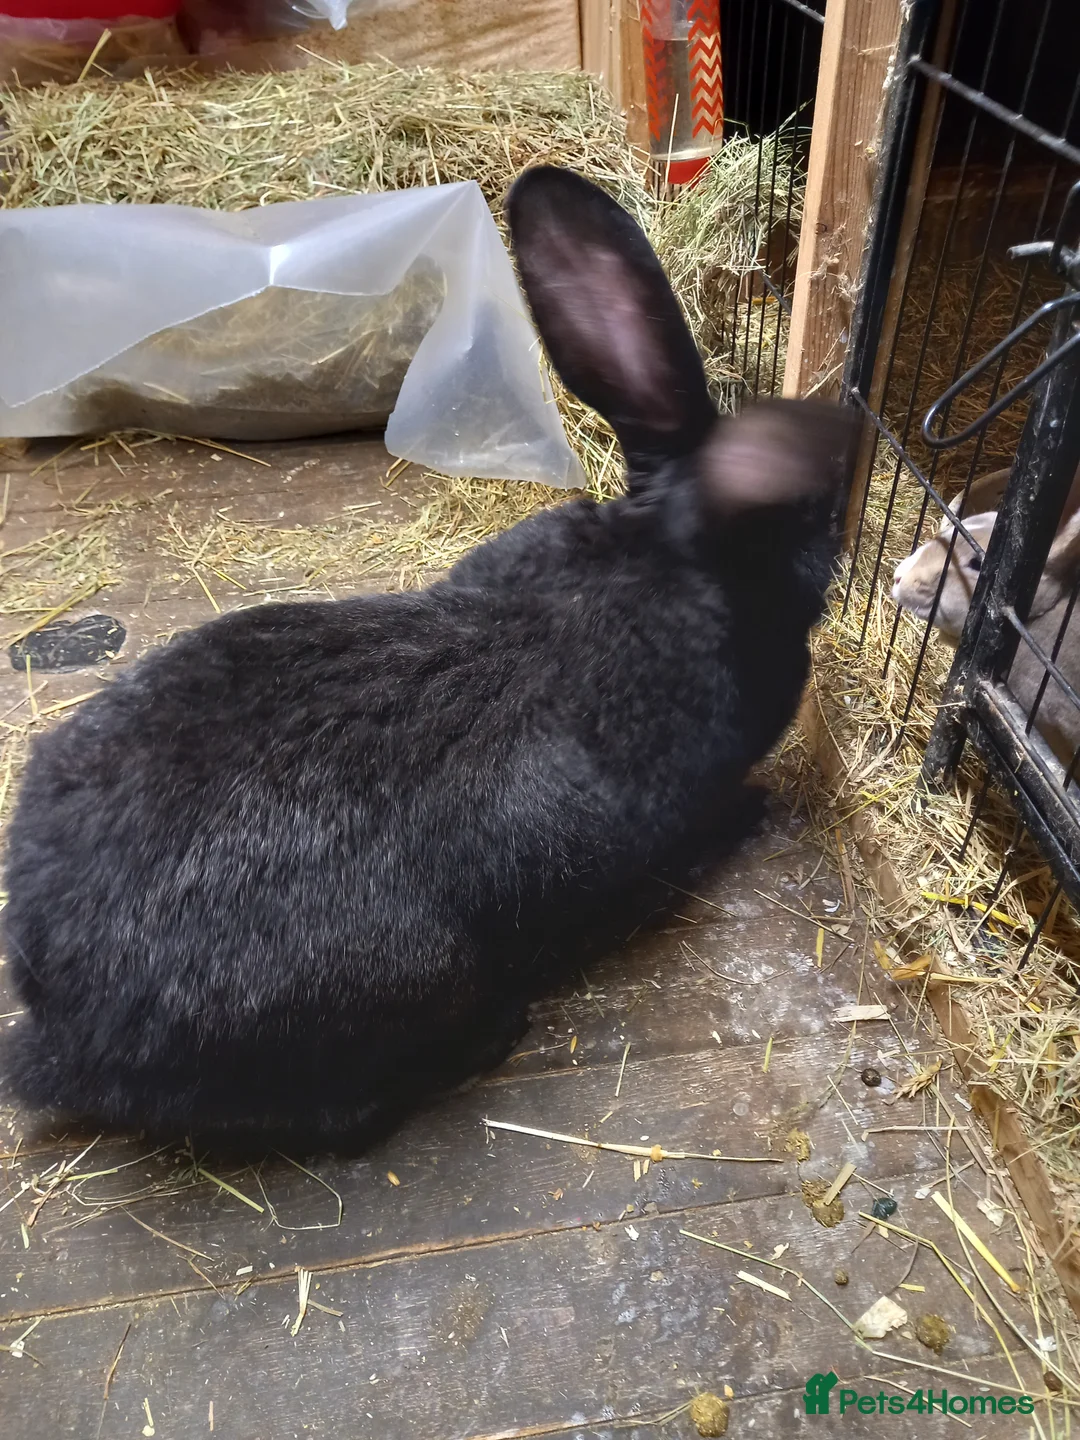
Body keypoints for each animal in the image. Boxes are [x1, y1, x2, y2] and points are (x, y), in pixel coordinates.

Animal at [1, 166, 857, 1152]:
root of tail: (61, 1025)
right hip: (410, 985)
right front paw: (753, 811)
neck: (674, 556)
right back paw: (493, 1036)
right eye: (806, 526)